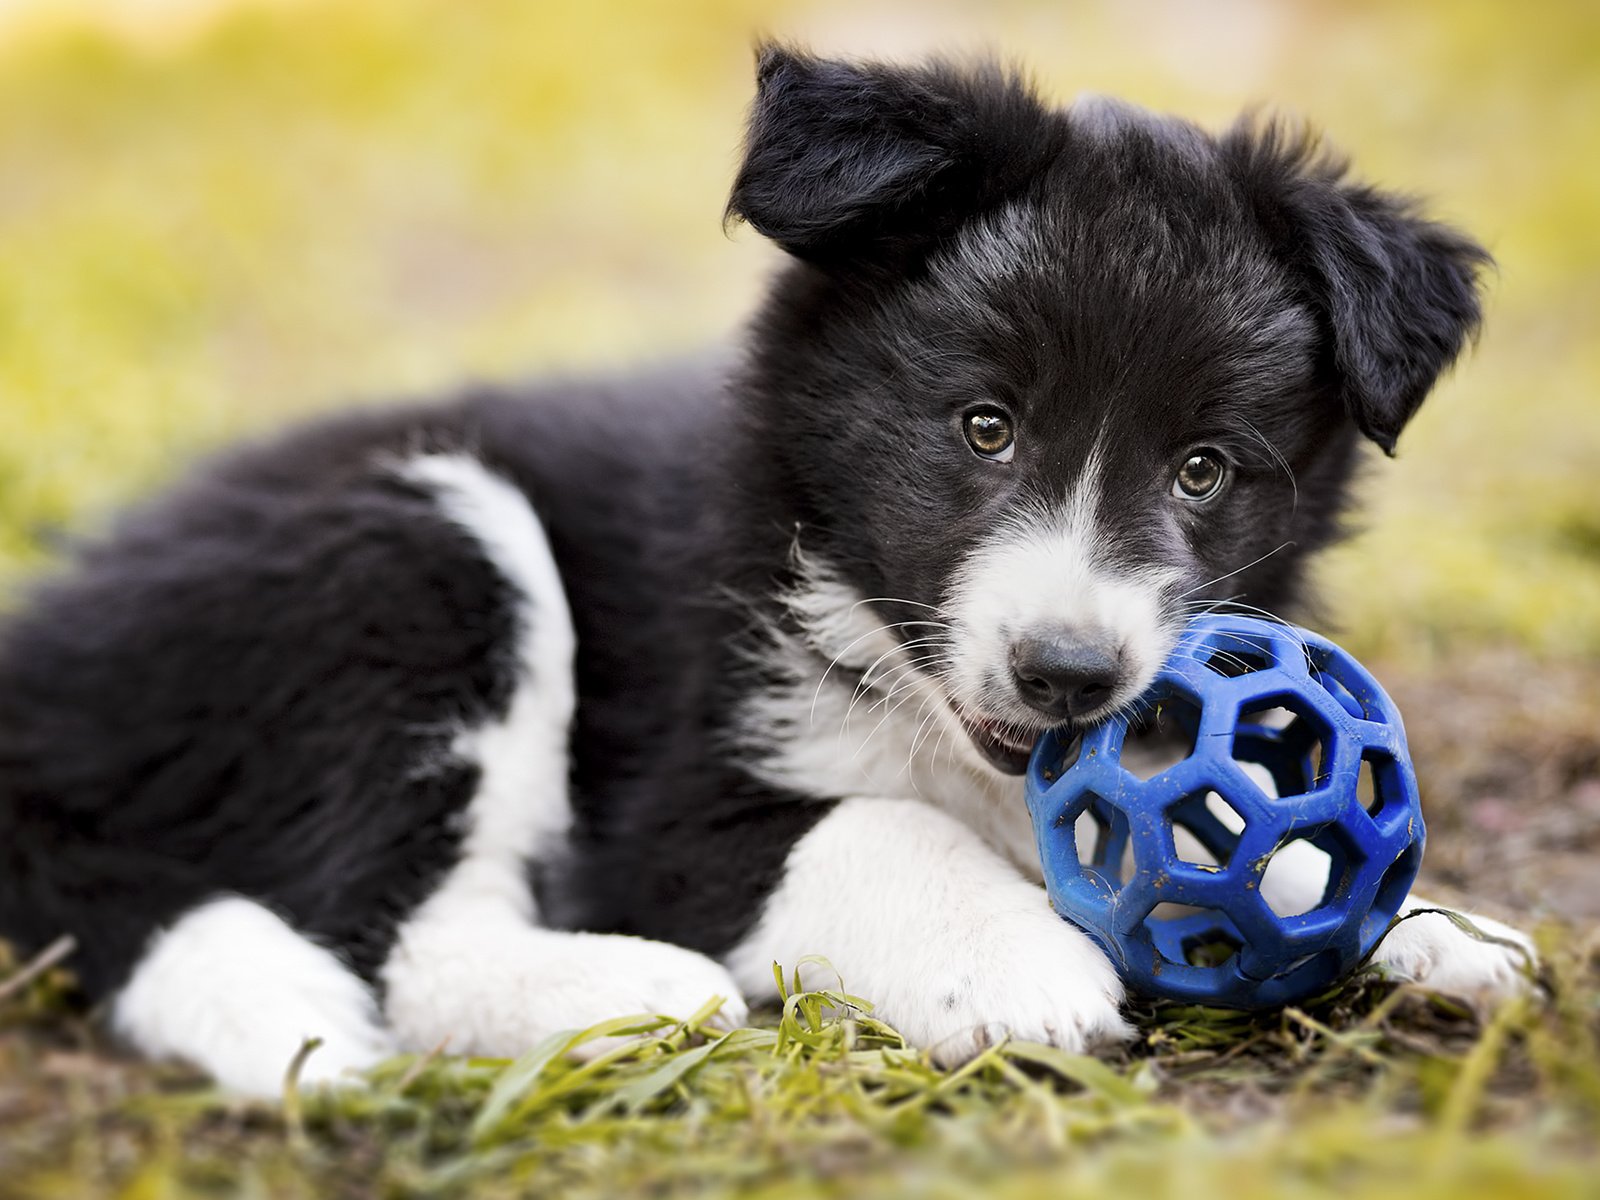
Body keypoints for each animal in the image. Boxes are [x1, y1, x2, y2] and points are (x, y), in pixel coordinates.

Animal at [0, 49, 1529, 1100]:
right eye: (985, 426)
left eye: (1203, 470)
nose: (1067, 675)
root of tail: (42, 671)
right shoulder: (670, 803)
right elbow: (874, 824)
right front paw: (1018, 964)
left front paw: (1423, 924)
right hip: (414, 553)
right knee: (398, 934)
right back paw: (630, 994)